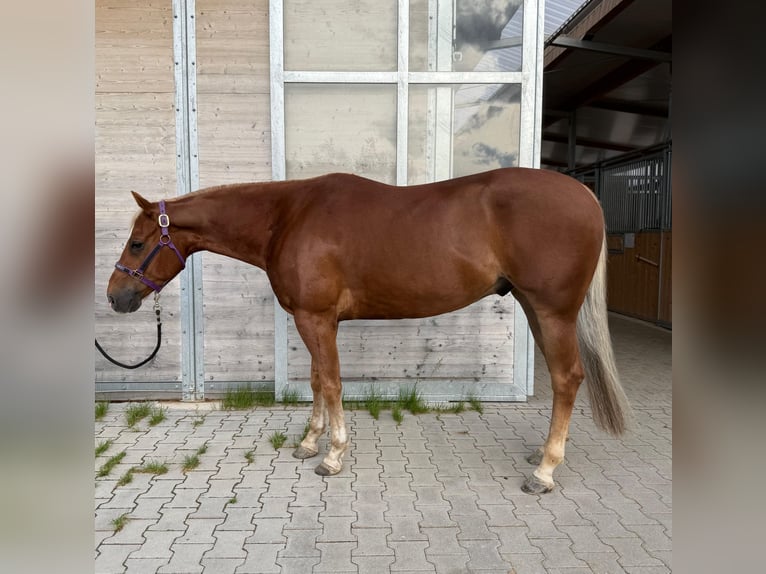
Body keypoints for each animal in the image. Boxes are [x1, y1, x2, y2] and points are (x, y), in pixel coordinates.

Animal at [106, 167, 630, 494]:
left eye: (137, 244)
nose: (115, 297)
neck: (287, 216)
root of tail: (585, 195)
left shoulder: (315, 318)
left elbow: (333, 383)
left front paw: (332, 456)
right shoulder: (315, 320)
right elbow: (318, 381)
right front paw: (309, 443)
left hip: (553, 311)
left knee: (567, 379)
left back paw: (544, 471)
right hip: (533, 307)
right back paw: (541, 455)